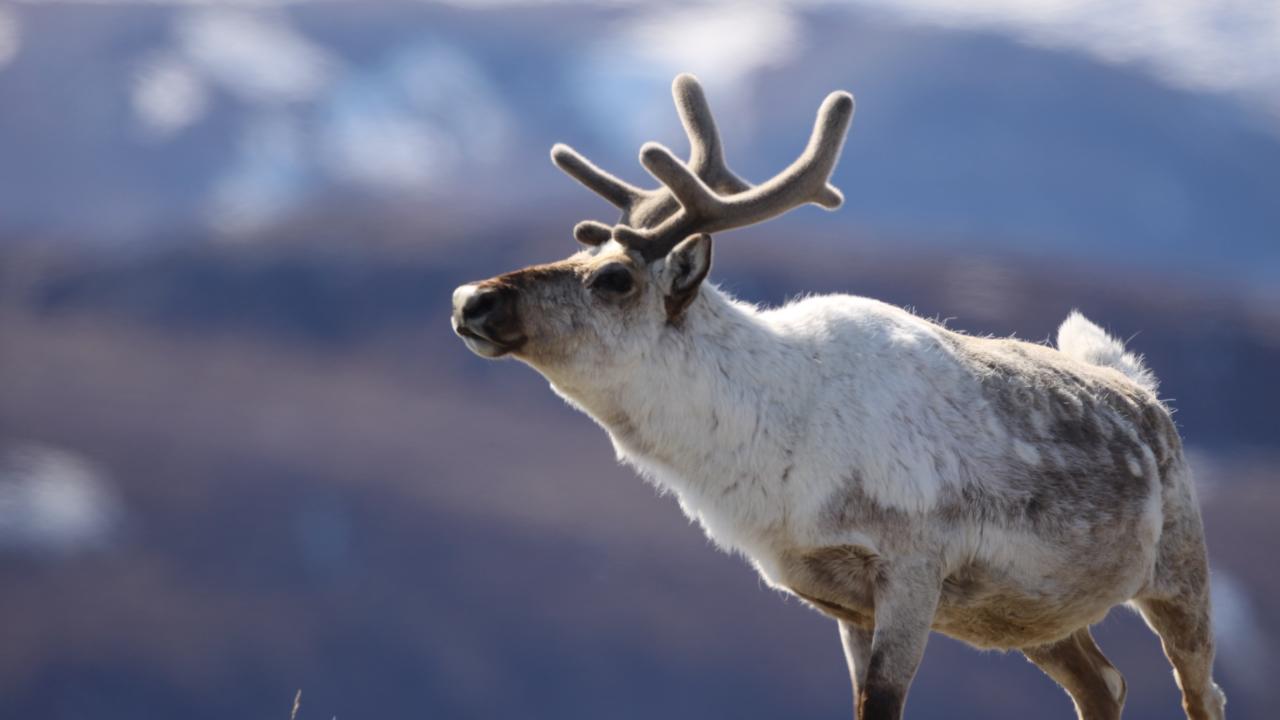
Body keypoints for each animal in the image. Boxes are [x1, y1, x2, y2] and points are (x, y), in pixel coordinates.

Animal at [450, 74, 1225, 720]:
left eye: (614, 278)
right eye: (578, 252)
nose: (470, 298)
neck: (768, 459)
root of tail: (1144, 392)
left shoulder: (912, 569)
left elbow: (881, 703)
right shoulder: (841, 598)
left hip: (1179, 569)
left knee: (1200, 690)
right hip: (1029, 615)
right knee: (1105, 684)